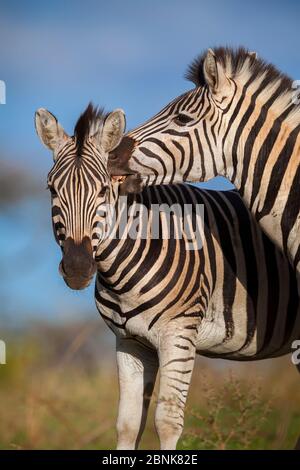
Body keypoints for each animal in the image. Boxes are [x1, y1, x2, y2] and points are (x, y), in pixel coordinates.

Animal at [35, 104, 300, 450]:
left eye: (105, 189)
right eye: (52, 189)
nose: (78, 267)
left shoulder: (179, 335)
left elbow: (167, 421)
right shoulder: (129, 342)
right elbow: (128, 424)